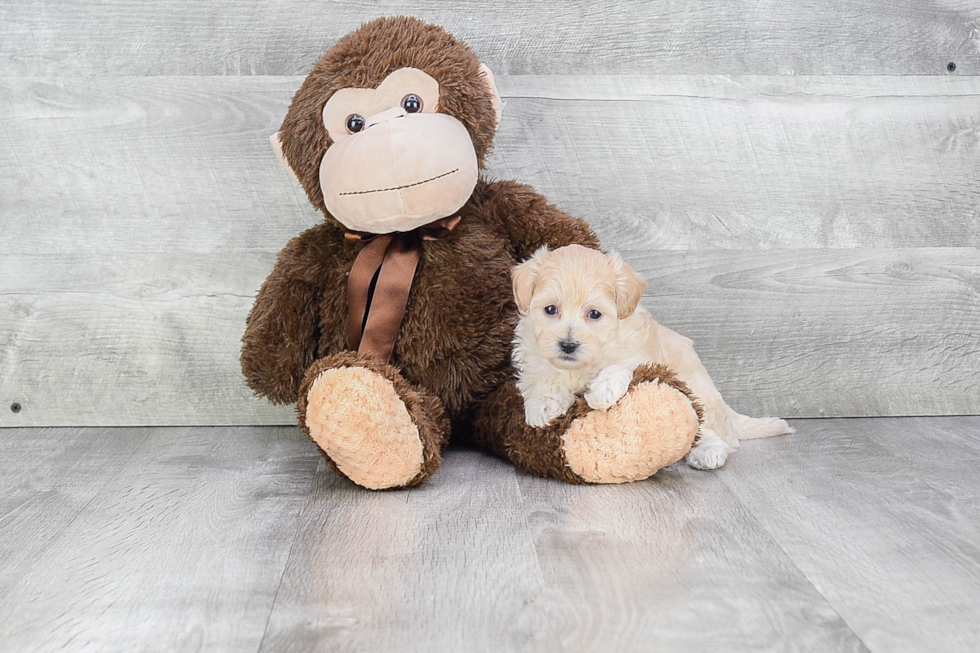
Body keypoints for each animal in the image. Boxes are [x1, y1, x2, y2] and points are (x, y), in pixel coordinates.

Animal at [516, 244, 792, 468]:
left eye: (594, 314)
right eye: (550, 309)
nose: (568, 345)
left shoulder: (636, 352)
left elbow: (616, 366)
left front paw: (603, 391)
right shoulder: (535, 359)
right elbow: (545, 377)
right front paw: (543, 406)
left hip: (698, 393)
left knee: (713, 432)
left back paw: (707, 453)